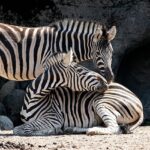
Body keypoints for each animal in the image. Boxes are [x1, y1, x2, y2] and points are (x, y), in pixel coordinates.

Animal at [13, 82, 144, 136]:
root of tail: (140, 104)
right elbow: (22, 128)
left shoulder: (54, 118)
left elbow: (19, 129)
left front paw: (52, 131)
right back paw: (72, 129)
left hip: (101, 103)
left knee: (114, 127)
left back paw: (93, 131)